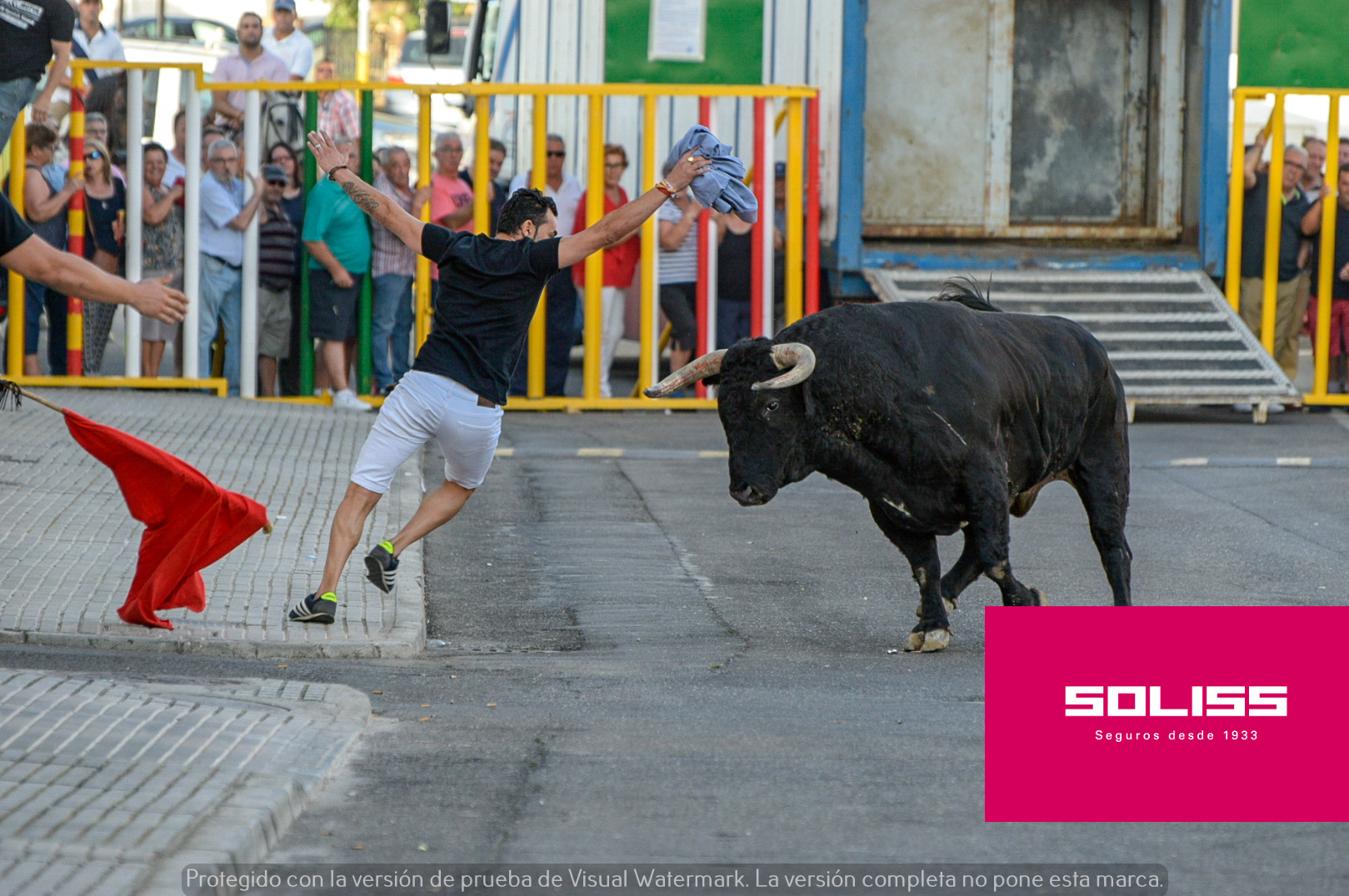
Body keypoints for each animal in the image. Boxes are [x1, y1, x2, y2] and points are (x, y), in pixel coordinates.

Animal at [642, 283, 1127, 655]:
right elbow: (927, 564)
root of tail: (1092, 347)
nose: (744, 490)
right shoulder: (890, 503)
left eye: (771, 404)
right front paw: (931, 625)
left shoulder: (984, 478)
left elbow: (994, 556)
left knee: (1112, 547)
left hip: (1103, 466)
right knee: (972, 551)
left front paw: (1026, 601)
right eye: (724, 408)